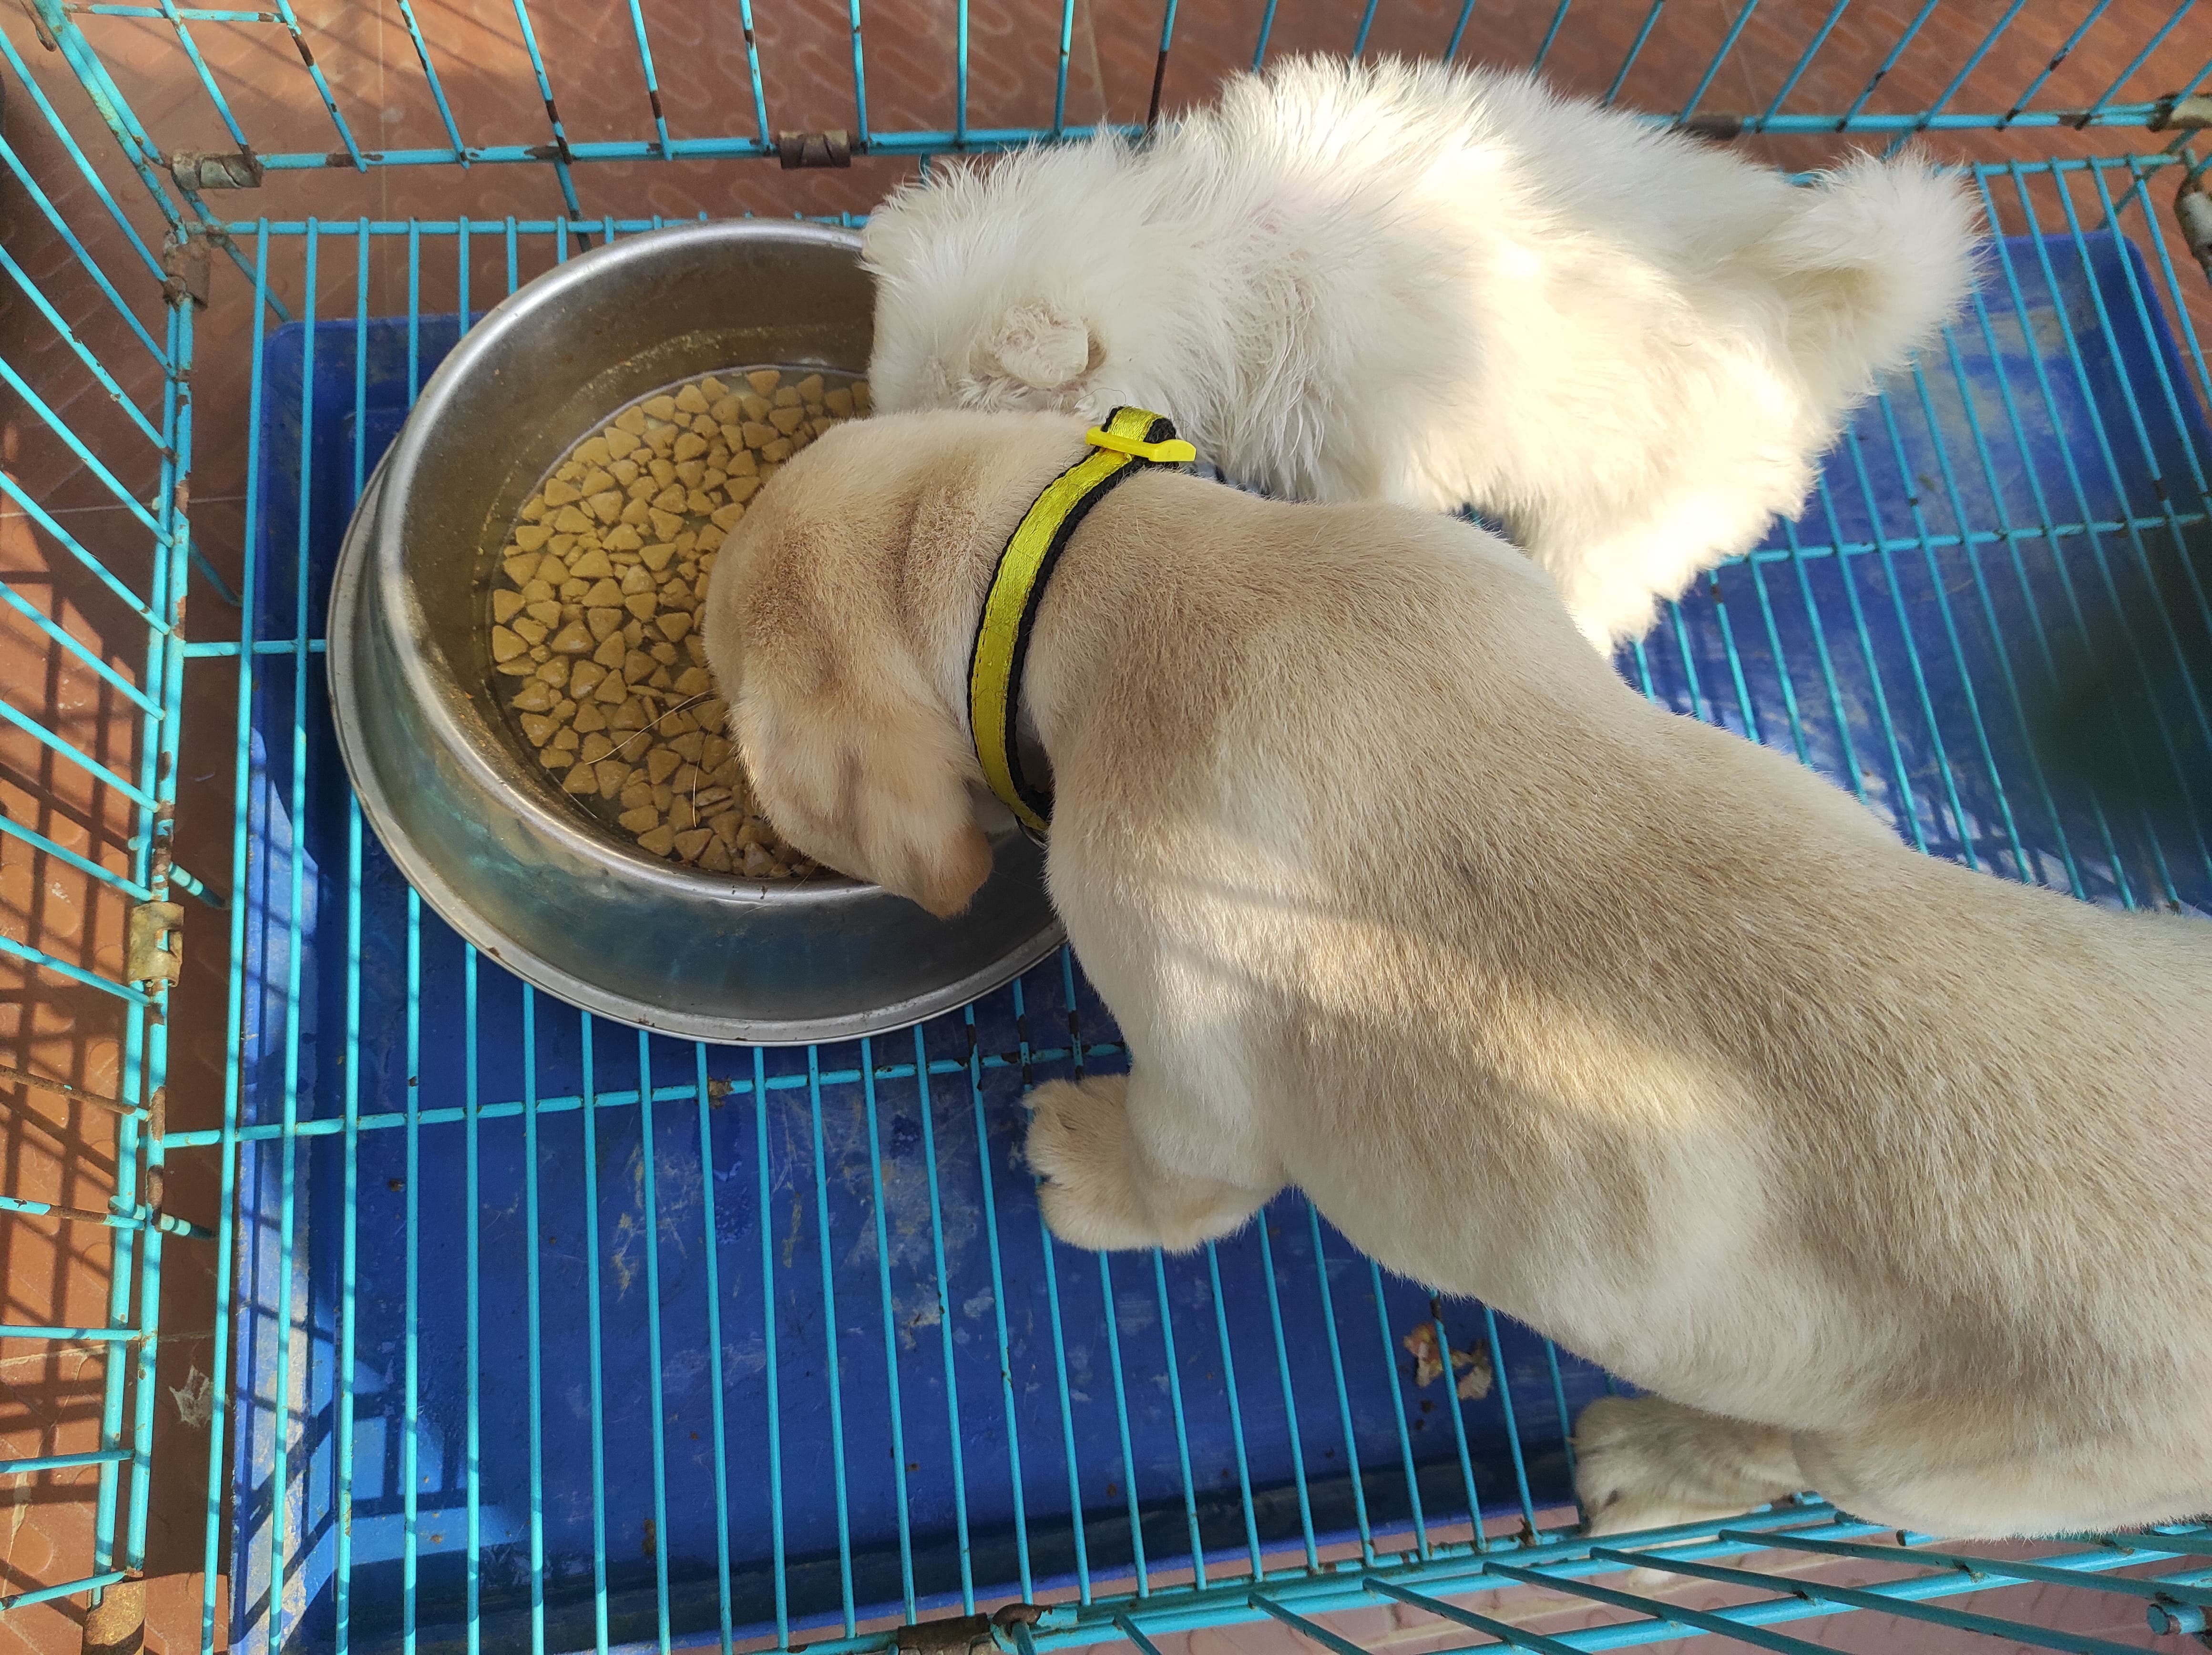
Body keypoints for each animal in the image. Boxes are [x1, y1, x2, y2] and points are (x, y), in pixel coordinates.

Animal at [703, 407, 2212, 1543]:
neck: (1112, 570)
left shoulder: (1189, 1047)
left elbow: (1177, 1185)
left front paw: (1082, 1159)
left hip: (1938, 1459)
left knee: (1791, 1456)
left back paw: (1652, 1460)